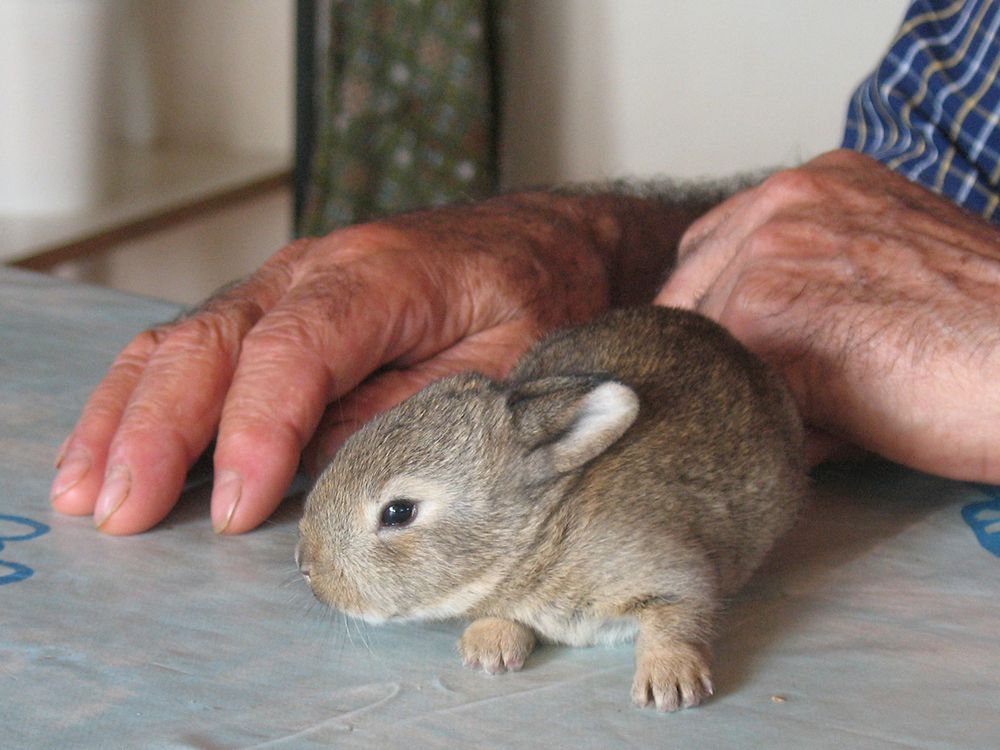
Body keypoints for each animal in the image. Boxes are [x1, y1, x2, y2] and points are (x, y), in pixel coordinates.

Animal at [296, 308, 804, 712]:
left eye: (398, 512)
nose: (306, 565)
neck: (540, 532)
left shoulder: (674, 572)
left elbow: (680, 616)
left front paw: (670, 683)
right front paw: (488, 646)